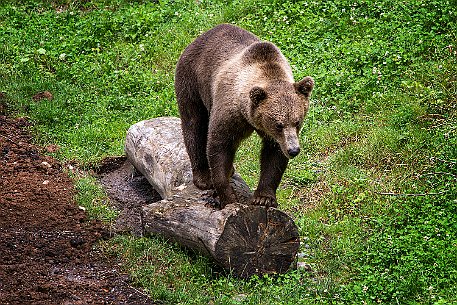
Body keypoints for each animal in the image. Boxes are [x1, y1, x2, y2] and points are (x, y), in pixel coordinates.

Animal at [175, 24, 314, 209]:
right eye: (278, 124)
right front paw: (228, 197)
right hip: (191, 81)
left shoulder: (273, 135)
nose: (293, 150)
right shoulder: (230, 110)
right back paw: (203, 177)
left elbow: (273, 155)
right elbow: (219, 144)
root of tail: (199, 37)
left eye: (297, 122)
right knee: (194, 125)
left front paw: (264, 198)